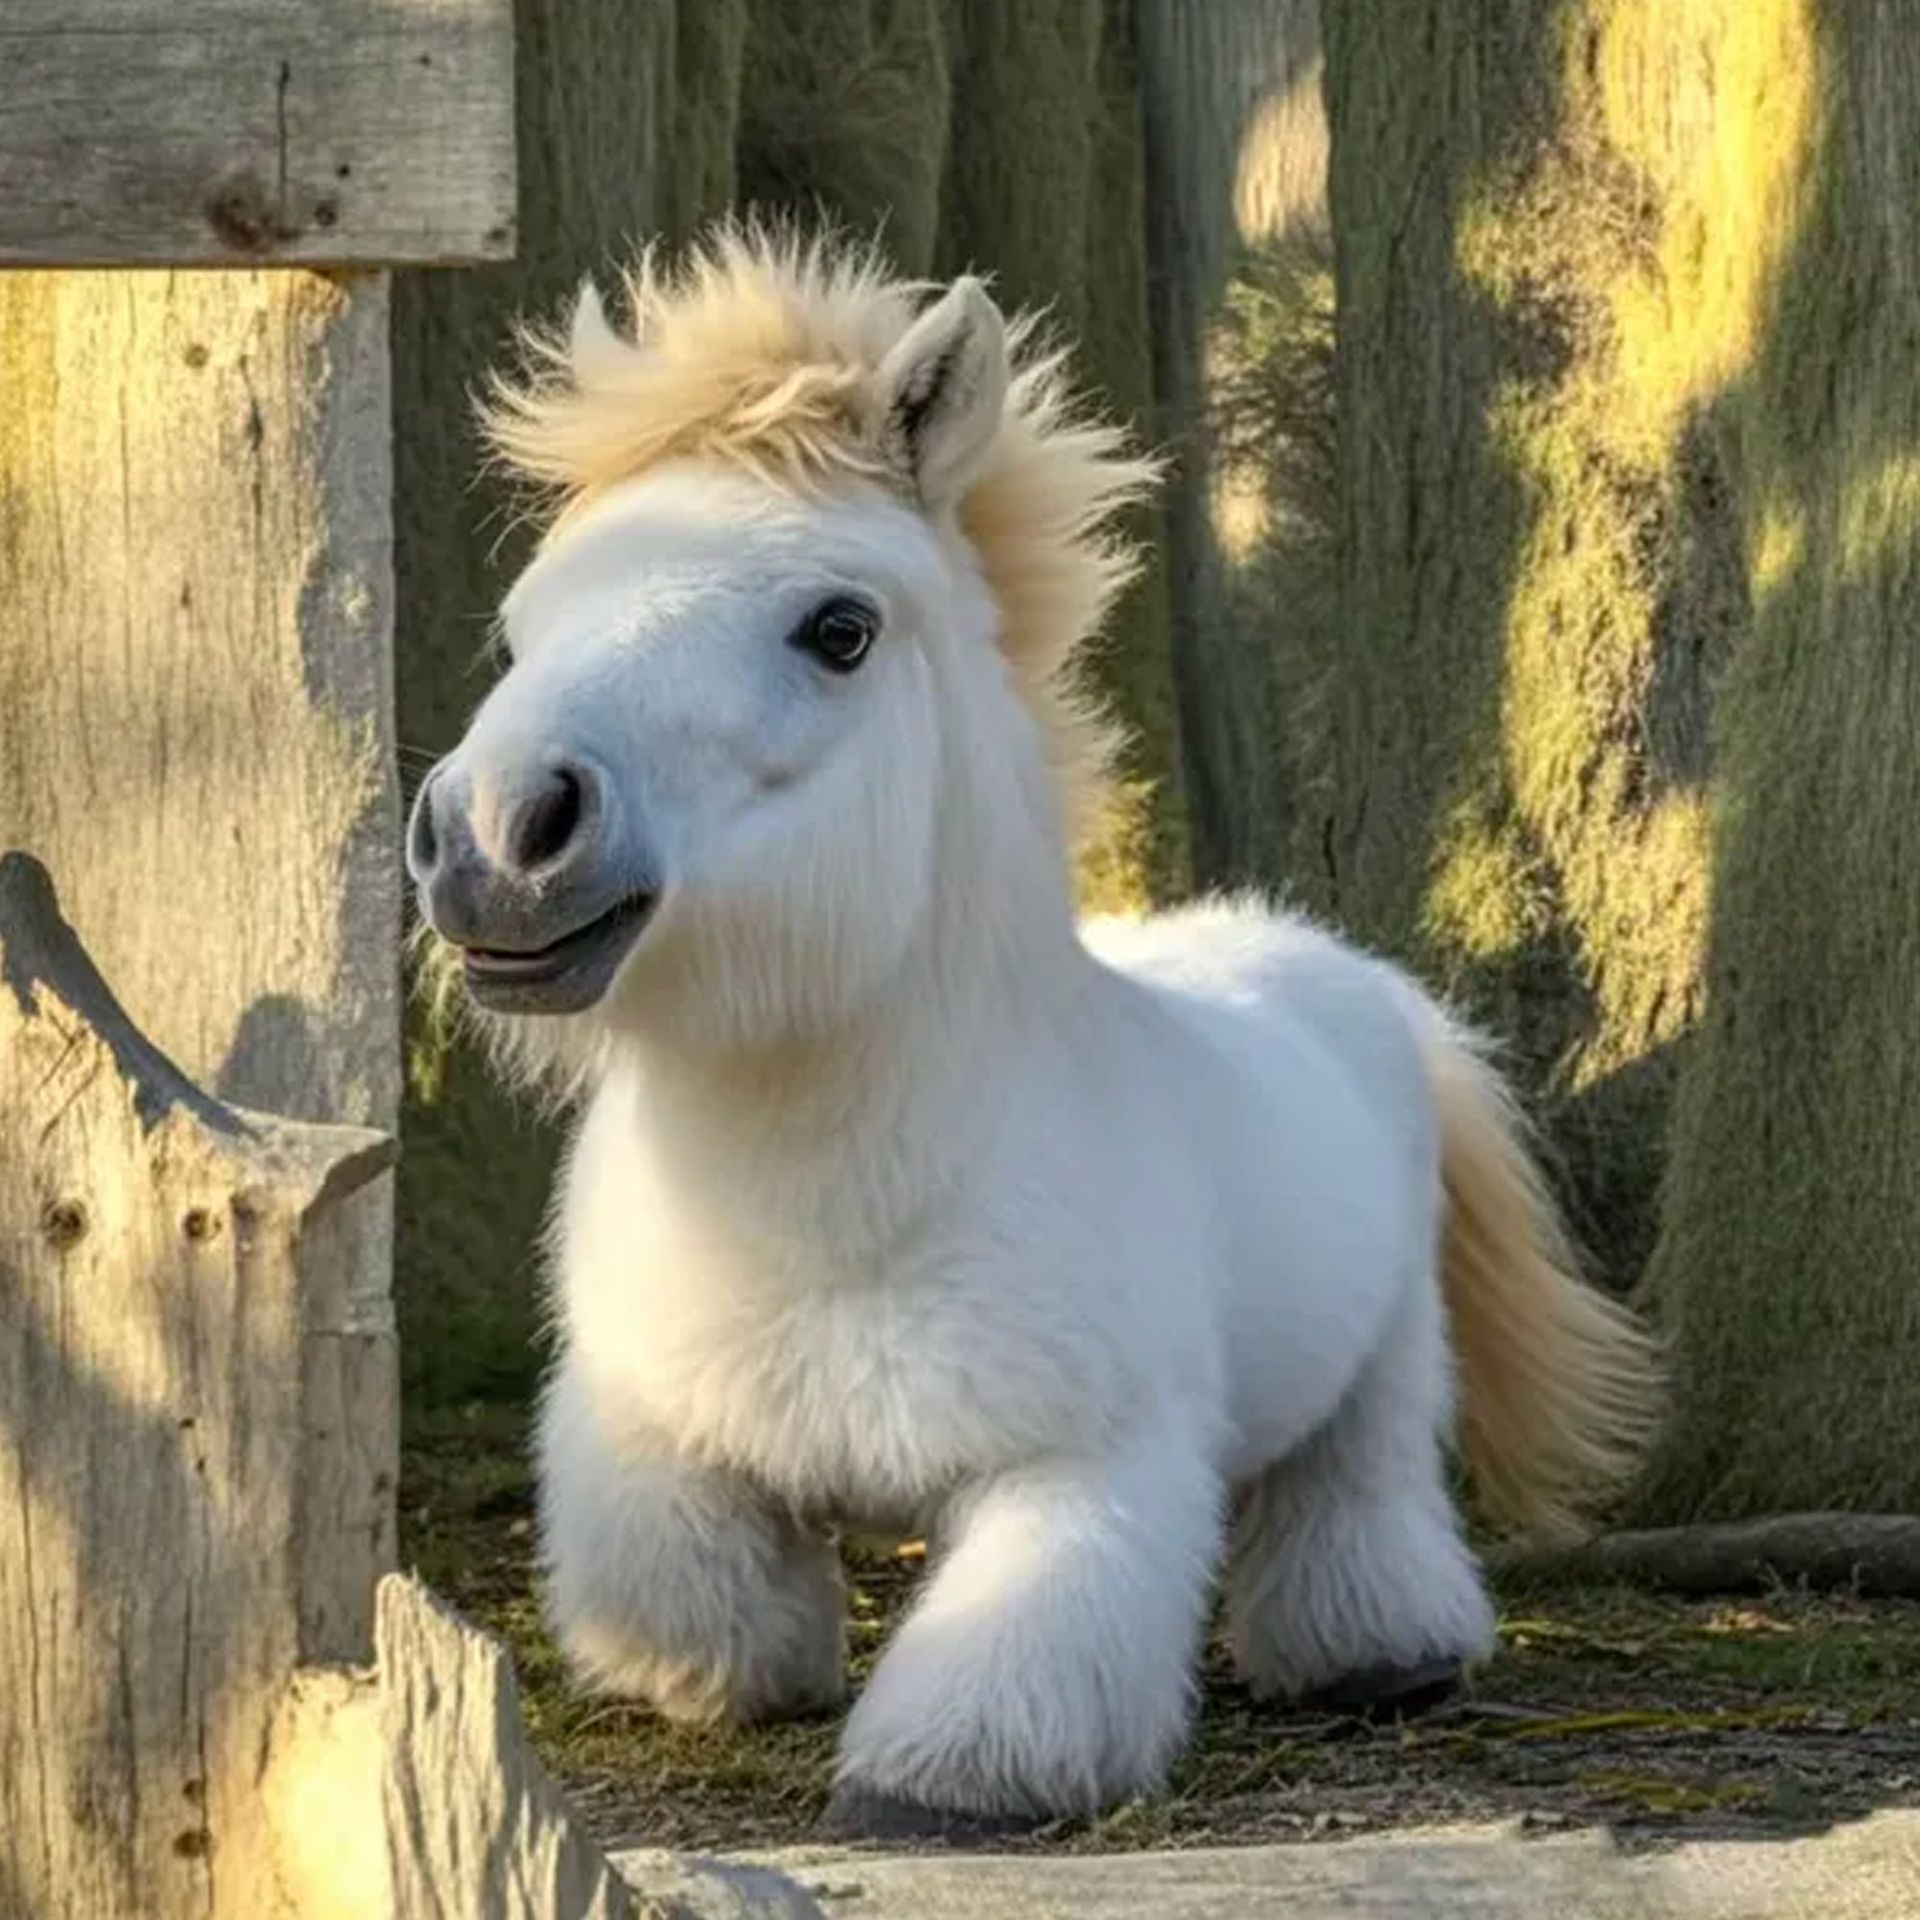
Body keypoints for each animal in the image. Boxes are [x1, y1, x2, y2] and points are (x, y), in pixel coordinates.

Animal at [406, 229, 1661, 1837]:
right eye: (522, 625)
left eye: (839, 630)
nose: (499, 835)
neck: (837, 1220)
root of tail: (1335, 973)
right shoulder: (651, 1437)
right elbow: (692, 1597)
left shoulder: (1078, 1465)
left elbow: (1012, 1670)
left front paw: (940, 1787)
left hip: (1383, 1373)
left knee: (1355, 1492)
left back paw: (1381, 1657)